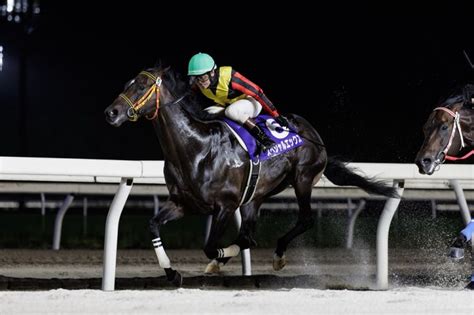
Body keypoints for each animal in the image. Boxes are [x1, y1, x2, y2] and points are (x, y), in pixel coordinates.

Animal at [103, 65, 396, 286]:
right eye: (129, 83)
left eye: (142, 85)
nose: (111, 112)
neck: (195, 147)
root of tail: (311, 132)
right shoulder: (182, 203)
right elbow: (153, 225)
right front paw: (173, 273)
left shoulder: (224, 206)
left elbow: (213, 246)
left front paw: (215, 261)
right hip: (255, 197)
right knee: (249, 231)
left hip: (302, 179)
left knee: (304, 219)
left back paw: (277, 256)